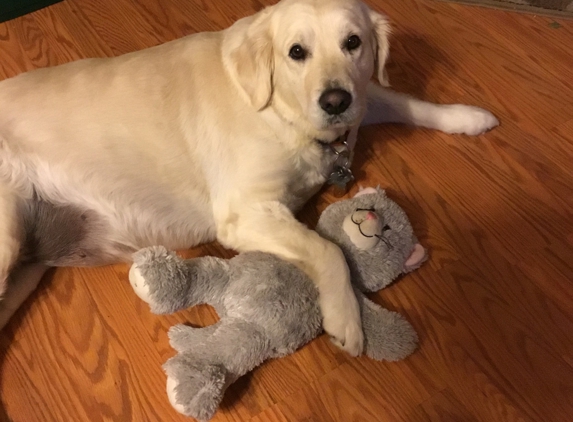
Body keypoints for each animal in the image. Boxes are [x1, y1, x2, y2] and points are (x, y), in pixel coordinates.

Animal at [0, 0, 494, 356]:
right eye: (297, 52)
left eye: (353, 42)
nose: (335, 100)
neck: (279, 111)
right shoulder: (245, 214)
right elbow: (330, 249)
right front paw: (345, 321)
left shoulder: (361, 100)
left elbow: (406, 101)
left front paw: (469, 117)